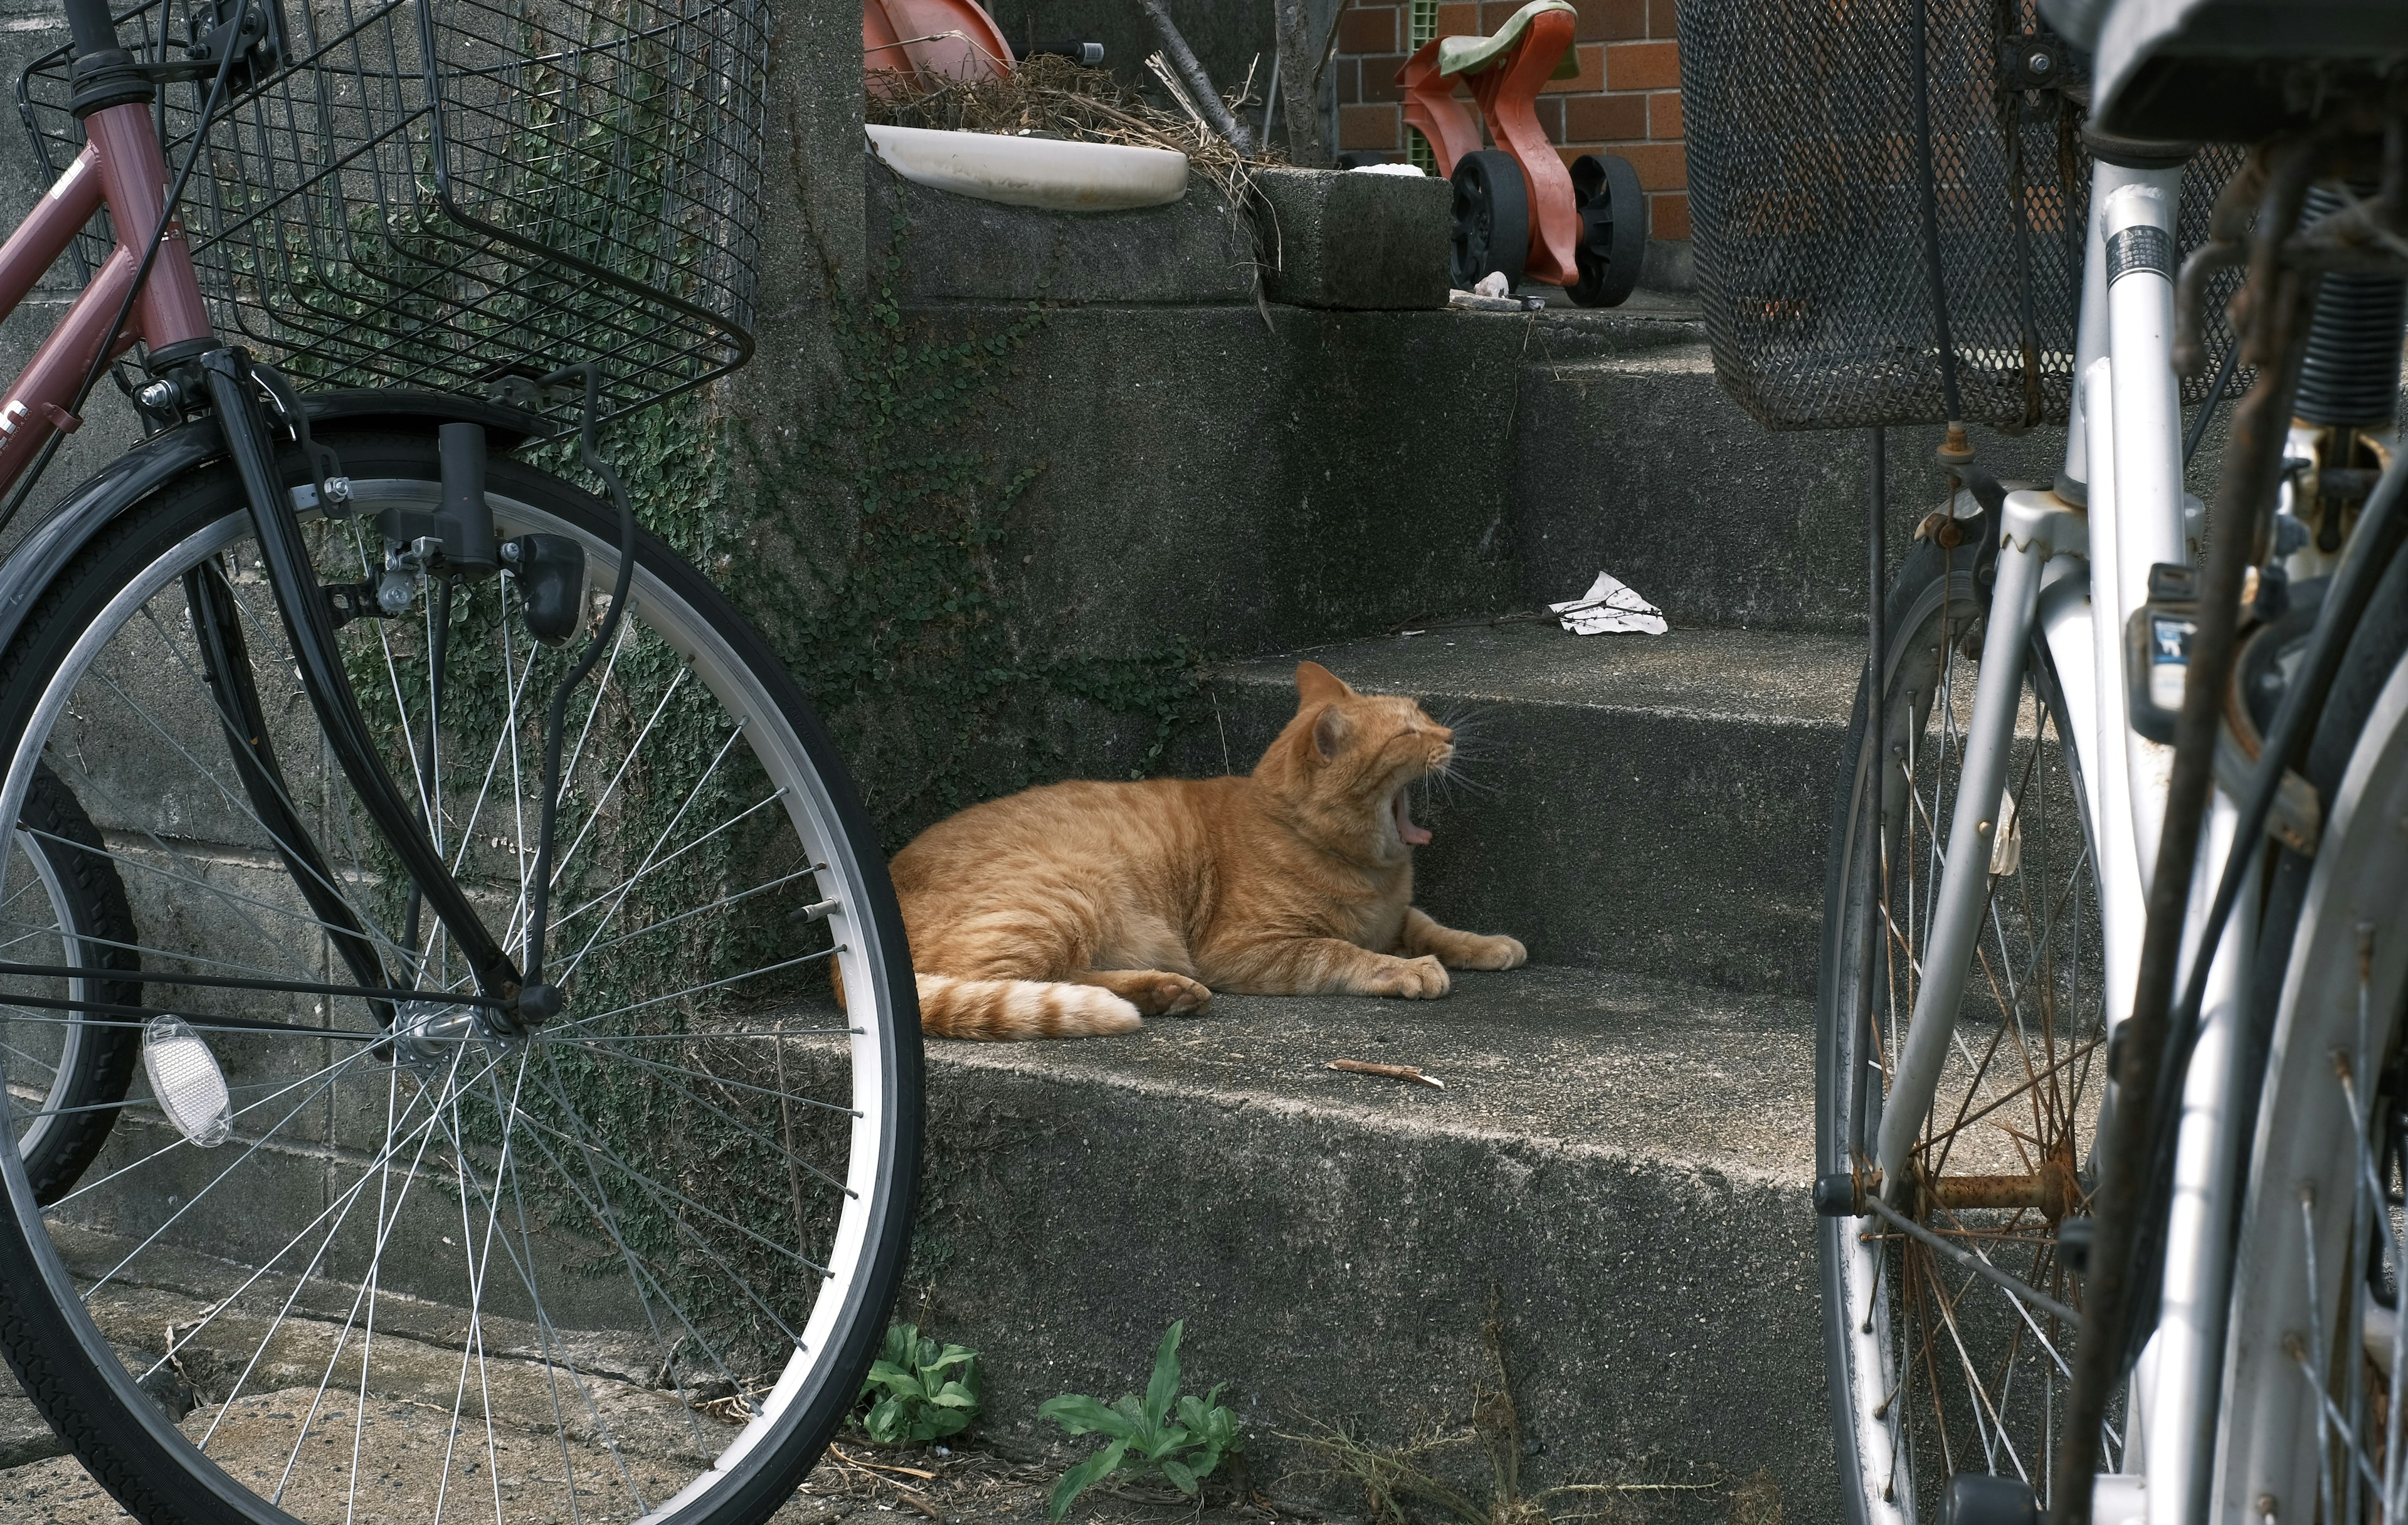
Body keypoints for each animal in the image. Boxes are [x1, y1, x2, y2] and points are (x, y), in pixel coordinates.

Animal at [881, 660, 1521, 1040]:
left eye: (1425, 716)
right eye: (1409, 732)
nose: (1450, 736)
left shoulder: (1396, 916)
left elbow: (1430, 924)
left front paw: (1488, 944)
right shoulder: (1247, 949)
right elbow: (1340, 953)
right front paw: (1410, 970)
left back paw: (1164, 992)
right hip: (1069, 892)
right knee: (1026, 982)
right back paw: (1156, 992)